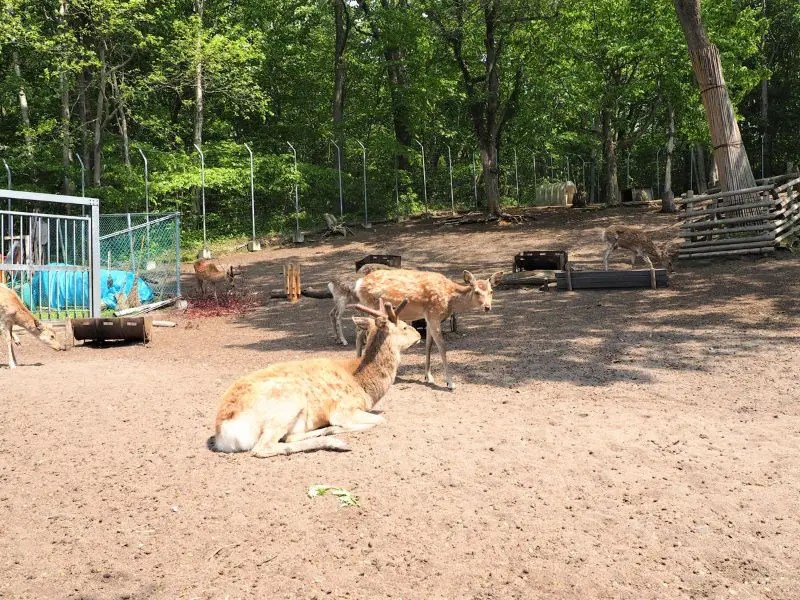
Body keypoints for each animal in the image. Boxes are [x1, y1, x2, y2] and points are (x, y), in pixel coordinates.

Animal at [211, 298, 418, 458]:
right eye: (404, 326)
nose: (418, 335)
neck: (363, 386)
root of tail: (223, 433)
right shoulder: (343, 409)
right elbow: (380, 420)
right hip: (288, 403)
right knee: (263, 447)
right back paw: (337, 442)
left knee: (287, 437)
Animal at [354, 268, 504, 390]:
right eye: (477, 292)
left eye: (491, 291)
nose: (487, 307)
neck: (450, 298)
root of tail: (358, 284)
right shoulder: (434, 314)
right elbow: (442, 346)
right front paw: (450, 383)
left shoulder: (428, 317)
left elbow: (428, 345)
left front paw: (428, 377)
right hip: (371, 307)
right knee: (361, 333)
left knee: (360, 331)